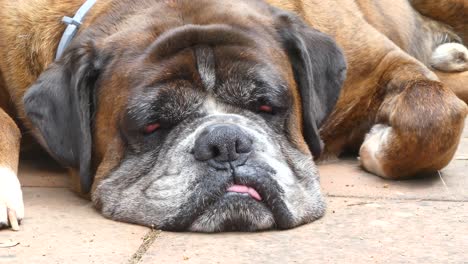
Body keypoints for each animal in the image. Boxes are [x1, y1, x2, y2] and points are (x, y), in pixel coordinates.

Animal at [0, 0, 466, 231]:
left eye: (266, 106)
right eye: (152, 125)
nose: (225, 142)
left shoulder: (386, 62)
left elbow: (435, 114)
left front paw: (373, 144)